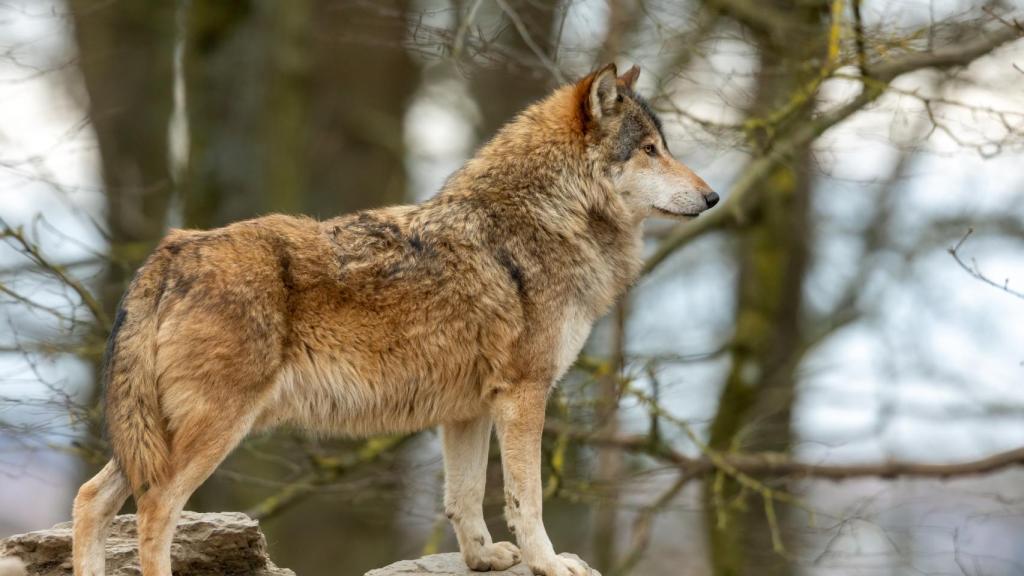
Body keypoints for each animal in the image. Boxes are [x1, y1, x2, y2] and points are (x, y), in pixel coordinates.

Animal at [72, 63, 716, 573]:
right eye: (650, 150)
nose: (713, 198)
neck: (547, 215)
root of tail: (172, 249)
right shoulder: (523, 395)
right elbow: (525, 500)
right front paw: (551, 565)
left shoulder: (469, 409)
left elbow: (465, 496)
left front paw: (483, 558)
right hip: (209, 432)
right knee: (155, 512)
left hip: (152, 437)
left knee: (89, 500)